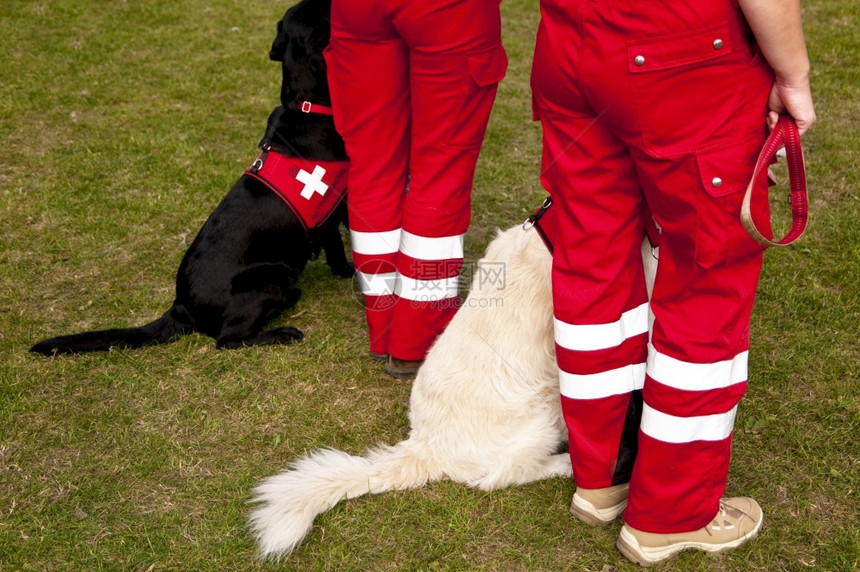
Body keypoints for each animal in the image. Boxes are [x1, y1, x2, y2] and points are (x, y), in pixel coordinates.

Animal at [31, 0, 350, 356]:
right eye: (324, 10)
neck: (306, 106)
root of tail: (180, 306)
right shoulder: (340, 203)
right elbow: (341, 246)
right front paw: (349, 273)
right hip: (272, 277)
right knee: (228, 340)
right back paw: (282, 332)